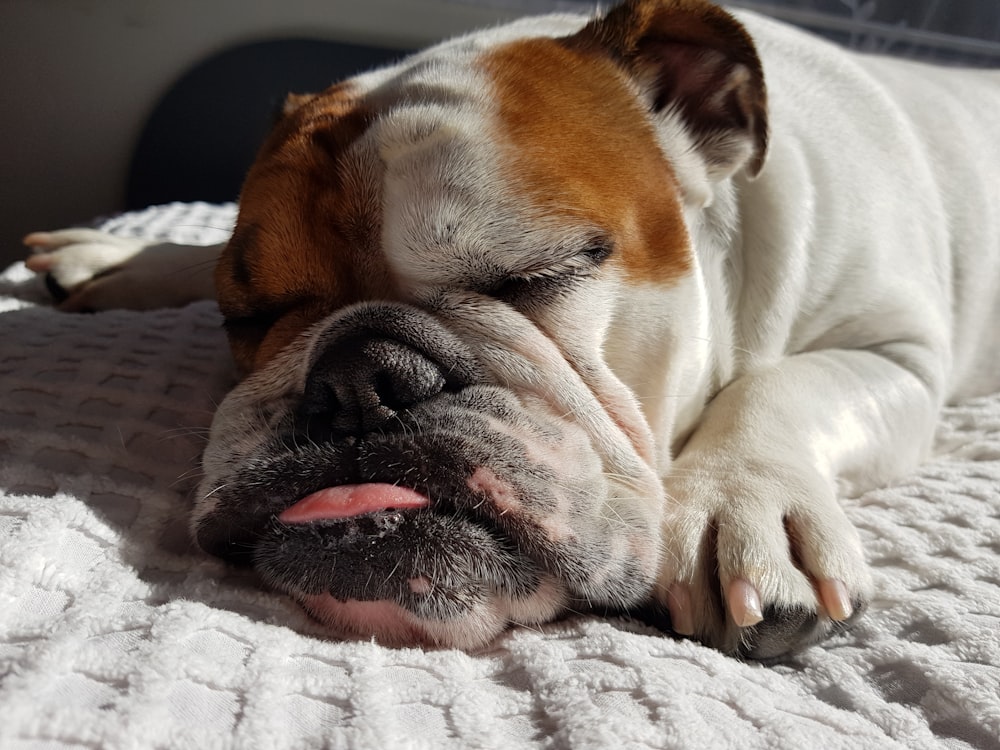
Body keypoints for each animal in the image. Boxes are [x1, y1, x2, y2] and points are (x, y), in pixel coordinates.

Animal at [23, 0, 1000, 656]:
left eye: (540, 273)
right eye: (247, 313)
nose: (360, 373)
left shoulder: (901, 354)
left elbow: (785, 382)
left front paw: (741, 505)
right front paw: (132, 260)